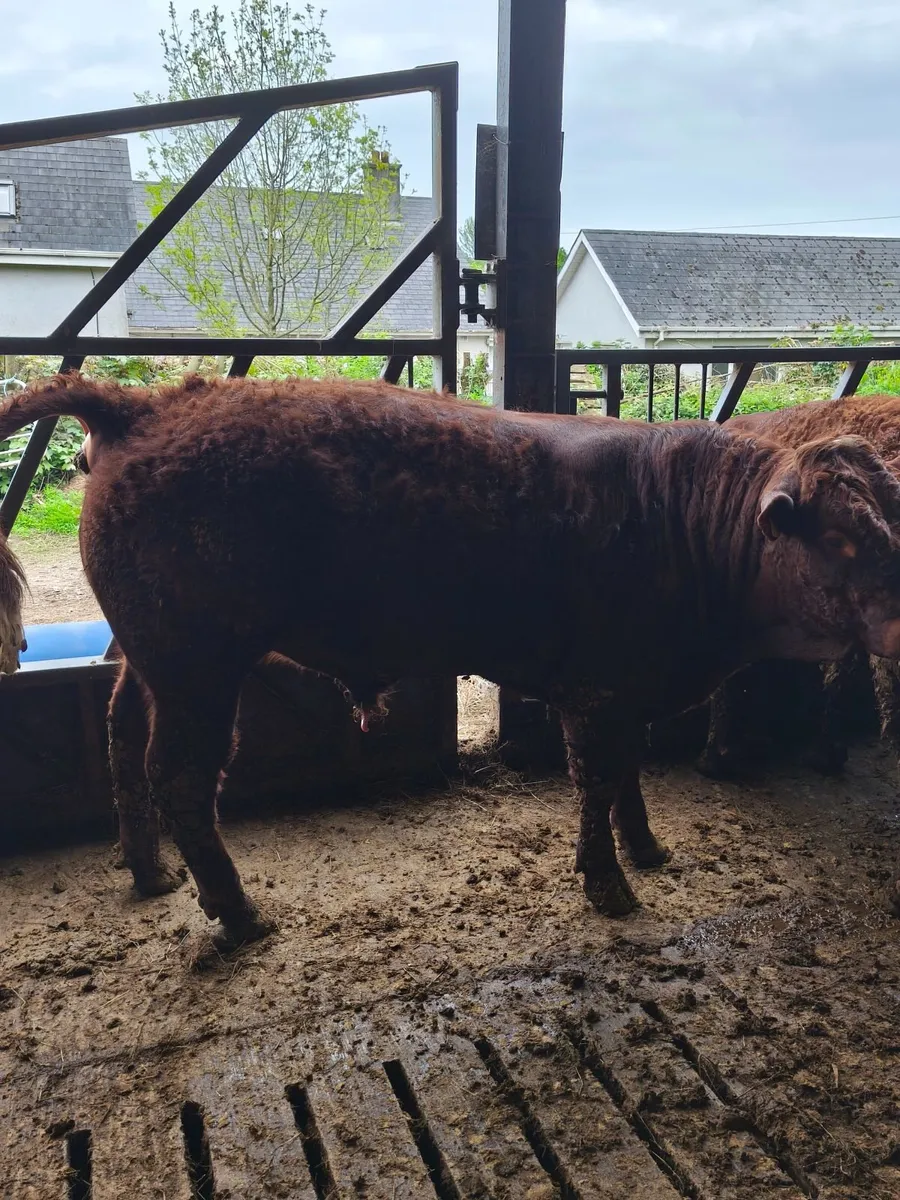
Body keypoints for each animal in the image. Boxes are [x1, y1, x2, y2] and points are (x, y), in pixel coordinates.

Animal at [2, 373, 900, 948]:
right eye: (842, 535)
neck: (680, 518)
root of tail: (146, 403)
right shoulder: (595, 691)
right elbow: (598, 780)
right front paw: (610, 884)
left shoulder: (625, 690)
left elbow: (629, 775)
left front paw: (647, 847)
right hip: (198, 670)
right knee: (184, 779)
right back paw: (239, 913)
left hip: (153, 660)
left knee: (122, 733)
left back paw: (147, 869)